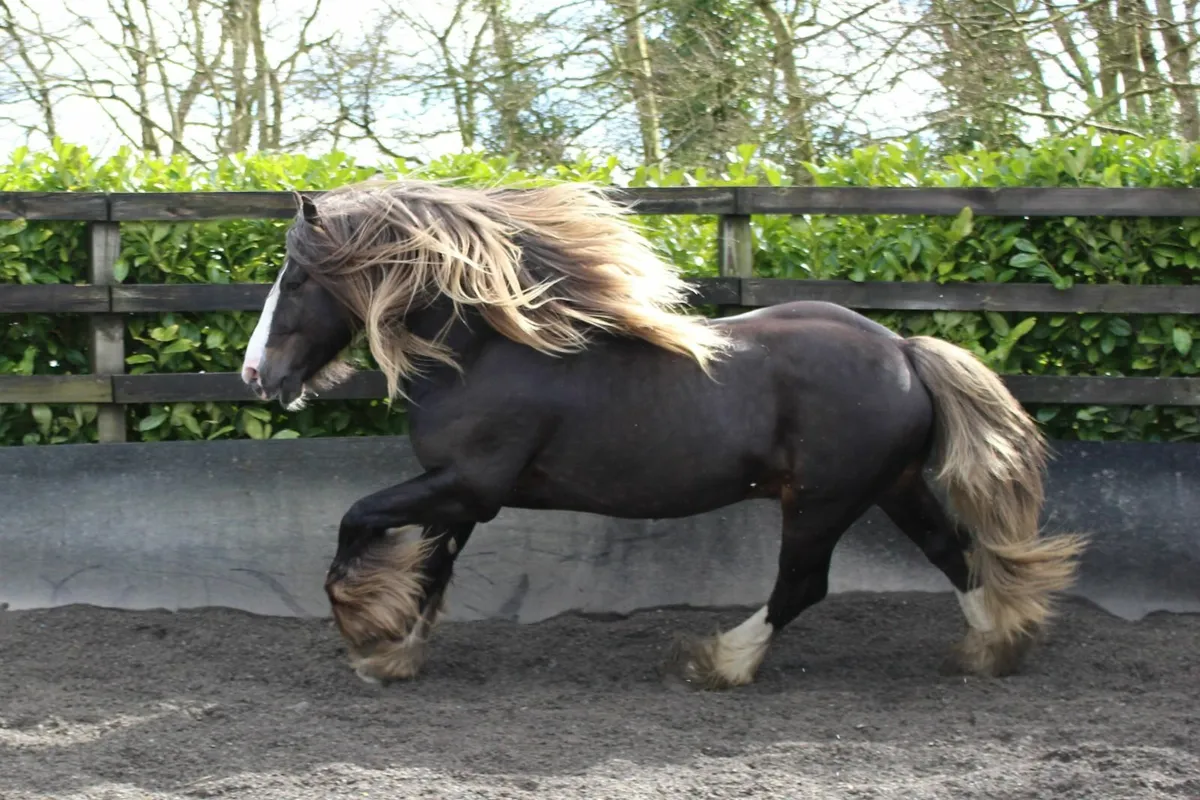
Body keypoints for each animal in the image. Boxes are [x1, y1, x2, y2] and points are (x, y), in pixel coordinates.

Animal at [239, 178, 1086, 690]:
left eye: (298, 278)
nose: (255, 374)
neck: (484, 350)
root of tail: (905, 352)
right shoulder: (462, 498)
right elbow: (429, 571)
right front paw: (393, 652)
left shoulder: (466, 486)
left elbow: (357, 522)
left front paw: (361, 631)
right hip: (893, 487)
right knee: (955, 554)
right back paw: (992, 650)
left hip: (821, 501)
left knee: (803, 584)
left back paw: (720, 662)